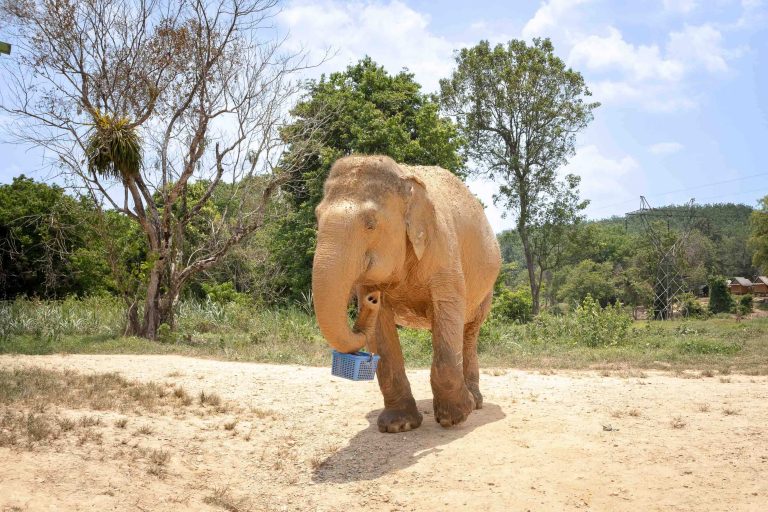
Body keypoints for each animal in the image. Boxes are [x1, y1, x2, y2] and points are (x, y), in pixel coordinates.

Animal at [314, 155, 504, 432]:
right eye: (317, 217)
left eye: (370, 224)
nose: (370, 300)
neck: (405, 181)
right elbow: (382, 332)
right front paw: (398, 426)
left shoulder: (442, 247)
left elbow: (447, 306)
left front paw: (455, 417)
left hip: (487, 289)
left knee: (469, 331)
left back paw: (475, 401)